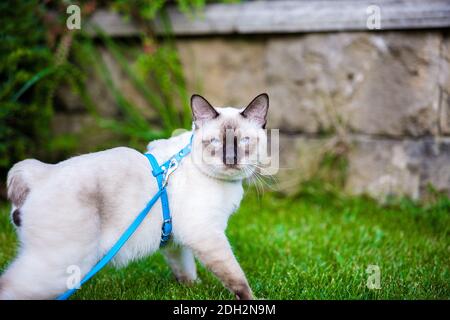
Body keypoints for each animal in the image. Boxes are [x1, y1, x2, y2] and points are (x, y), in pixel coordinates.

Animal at [0, 92, 268, 300]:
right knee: (10, 286)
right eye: (214, 142)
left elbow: (185, 269)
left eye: (244, 141)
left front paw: (192, 289)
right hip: (62, 265)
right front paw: (253, 300)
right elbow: (236, 277)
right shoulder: (207, 235)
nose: (230, 159)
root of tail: (40, 173)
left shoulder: (176, 239)